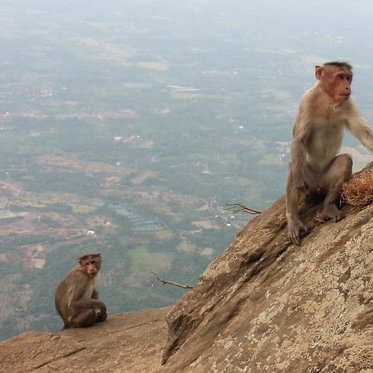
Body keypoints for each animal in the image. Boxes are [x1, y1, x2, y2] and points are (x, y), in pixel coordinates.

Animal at [284, 61, 372, 244]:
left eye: (348, 77)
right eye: (340, 77)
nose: (347, 87)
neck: (328, 99)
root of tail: (317, 184)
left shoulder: (349, 103)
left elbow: (364, 135)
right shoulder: (307, 100)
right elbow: (299, 141)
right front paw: (298, 182)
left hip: (325, 180)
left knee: (344, 161)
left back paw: (328, 206)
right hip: (309, 179)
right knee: (295, 167)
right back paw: (293, 218)